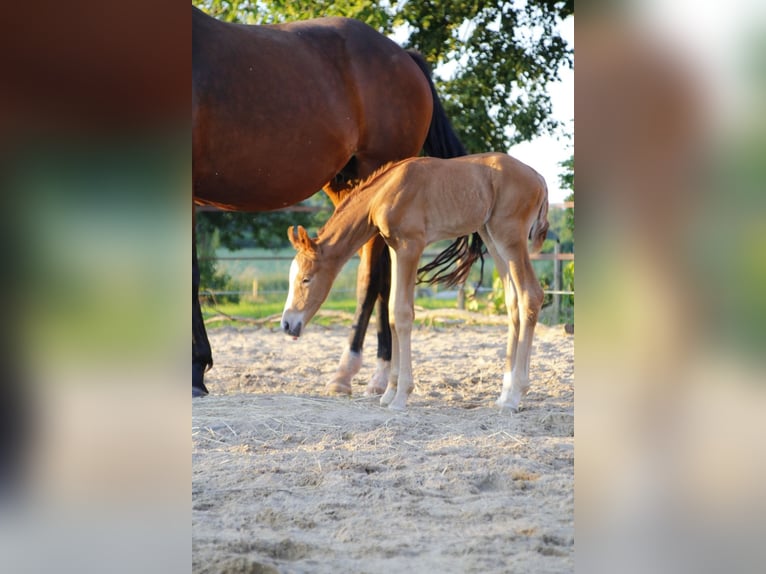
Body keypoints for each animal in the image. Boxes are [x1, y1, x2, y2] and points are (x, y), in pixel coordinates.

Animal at [284, 153, 548, 412]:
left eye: (306, 279)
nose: (287, 325)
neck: (386, 191)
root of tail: (538, 176)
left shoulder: (411, 246)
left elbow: (402, 313)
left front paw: (401, 396)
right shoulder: (394, 249)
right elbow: (392, 312)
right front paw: (389, 393)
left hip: (510, 238)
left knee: (531, 295)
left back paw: (515, 396)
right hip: (491, 237)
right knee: (513, 302)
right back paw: (504, 395)